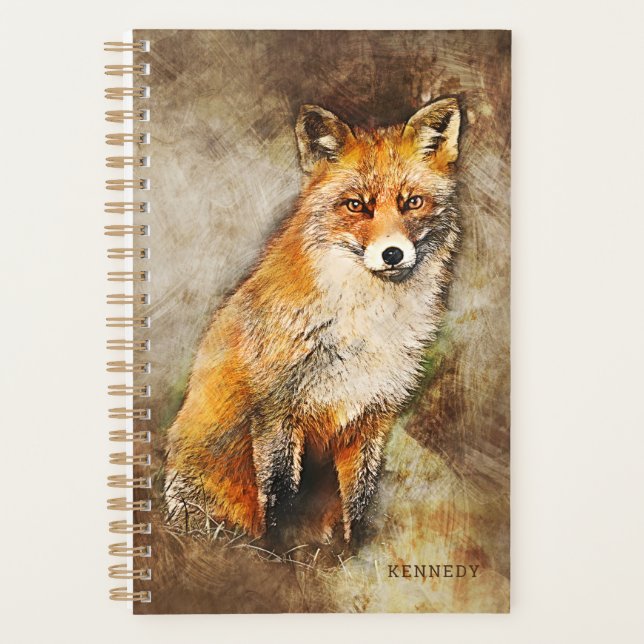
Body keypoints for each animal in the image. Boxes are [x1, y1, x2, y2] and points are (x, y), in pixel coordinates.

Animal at [165, 97, 462, 542]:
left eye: (412, 202)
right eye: (356, 205)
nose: (392, 254)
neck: (365, 326)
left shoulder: (371, 418)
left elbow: (358, 507)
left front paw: (352, 554)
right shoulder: (277, 412)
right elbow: (280, 501)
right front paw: (279, 557)